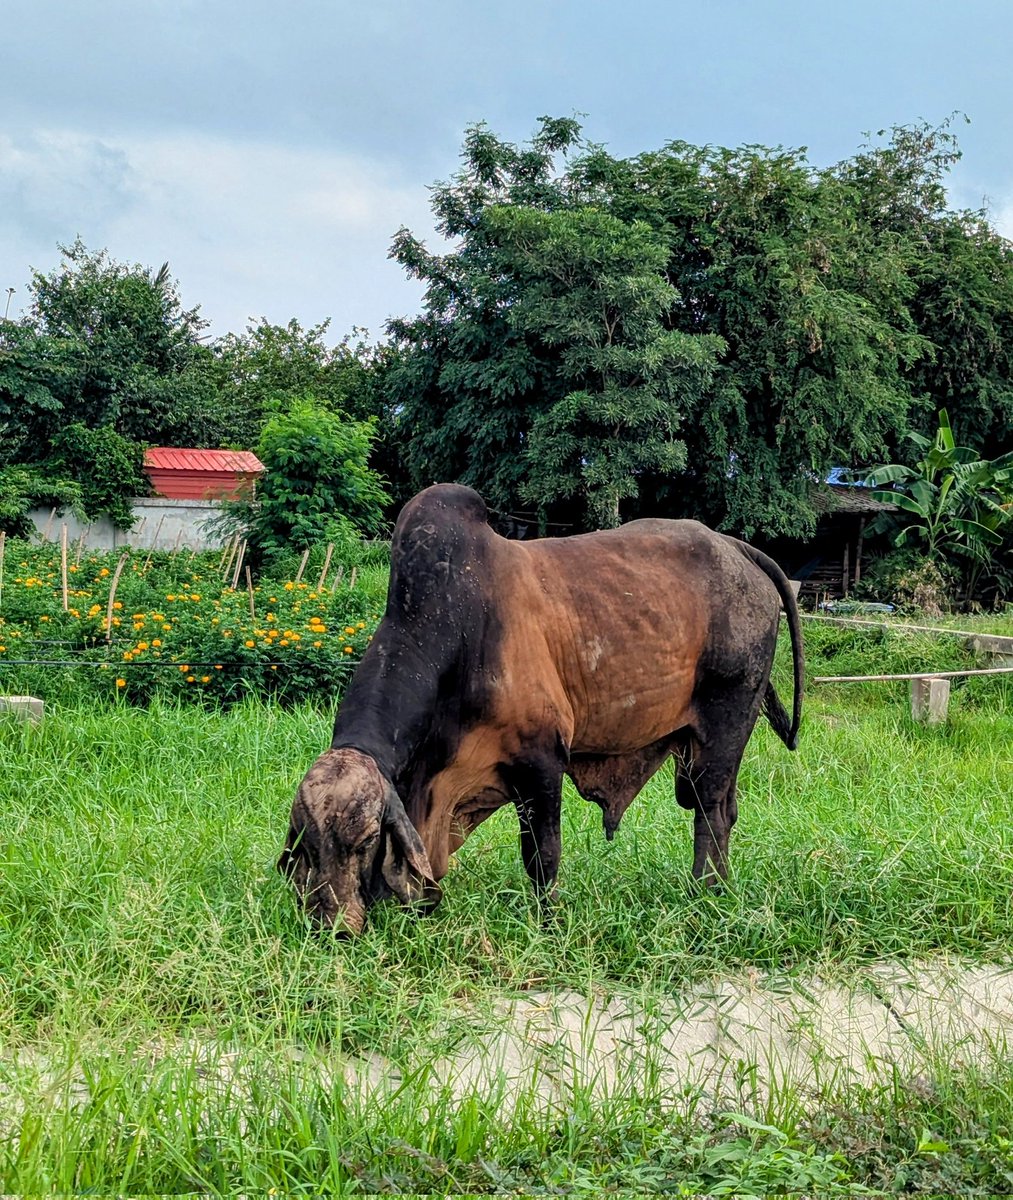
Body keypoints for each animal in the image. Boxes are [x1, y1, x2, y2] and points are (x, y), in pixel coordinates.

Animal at [279, 483, 804, 934]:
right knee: (724, 808)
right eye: (307, 841)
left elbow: (542, 858)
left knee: (710, 812)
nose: (331, 926)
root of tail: (736, 548)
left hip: (726, 722)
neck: (462, 631)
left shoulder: (542, 762)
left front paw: (548, 926)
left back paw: (703, 895)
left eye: (367, 839)